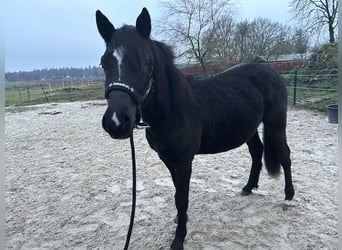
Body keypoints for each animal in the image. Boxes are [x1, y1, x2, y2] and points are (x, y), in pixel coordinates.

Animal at [95, 7, 294, 250]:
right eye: (104, 63)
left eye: (145, 62)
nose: (116, 121)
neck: (172, 109)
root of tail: (271, 72)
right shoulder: (168, 159)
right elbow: (176, 193)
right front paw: (180, 221)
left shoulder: (183, 161)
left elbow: (182, 197)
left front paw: (179, 238)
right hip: (249, 127)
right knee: (257, 151)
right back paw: (248, 187)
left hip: (276, 123)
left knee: (284, 154)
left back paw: (289, 196)